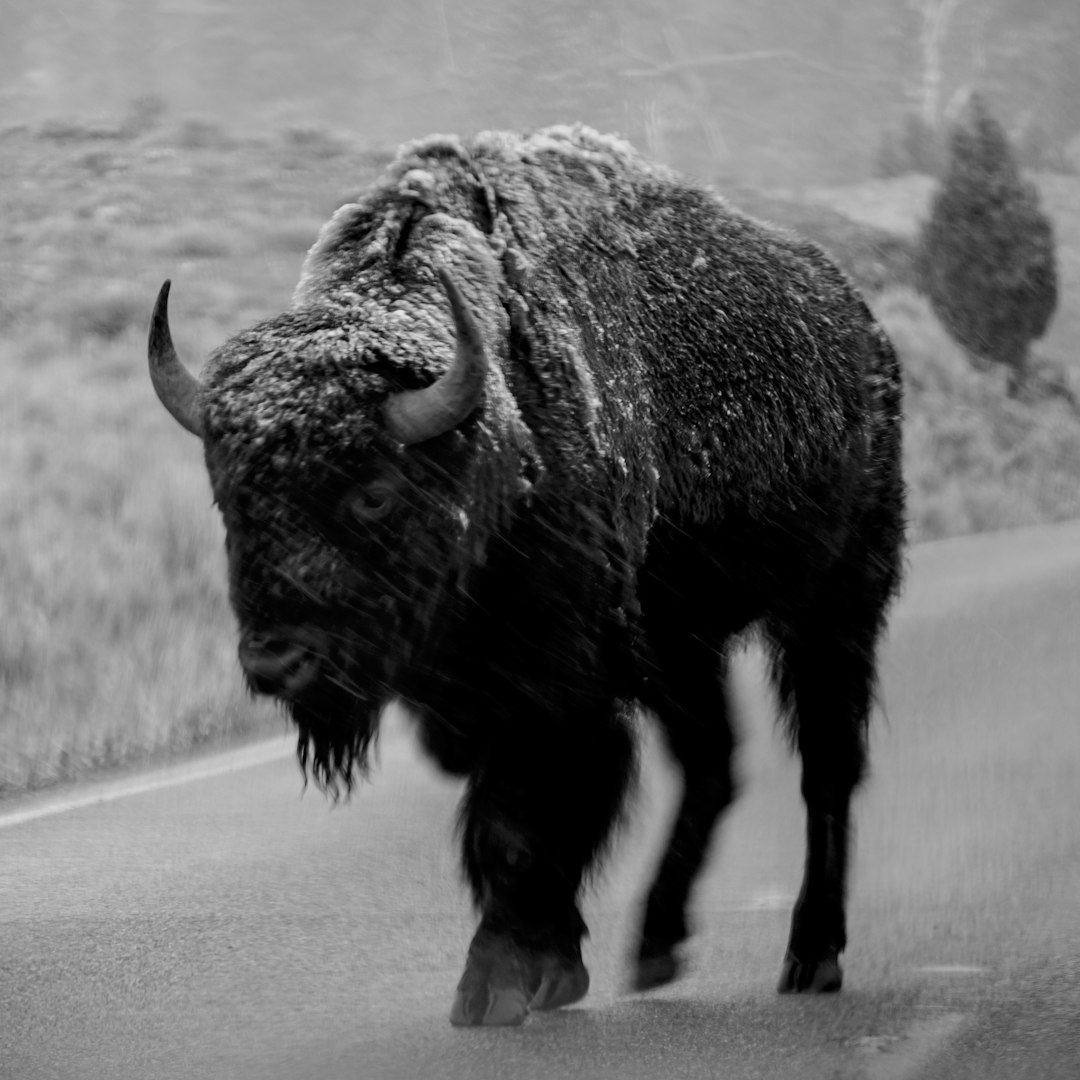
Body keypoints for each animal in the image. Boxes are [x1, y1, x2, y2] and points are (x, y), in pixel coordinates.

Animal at [143, 122, 902, 1023]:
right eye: (229, 495)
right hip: (685, 644)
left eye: (373, 492)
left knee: (827, 770)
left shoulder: (554, 684)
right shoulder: (474, 693)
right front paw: (546, 964)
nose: (276, 663)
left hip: (835, 605)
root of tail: (862, 331)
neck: (489, 437)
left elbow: (525, 817)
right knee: (713, 762)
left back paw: (811, 955)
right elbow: (512, 816)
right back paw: (654, 947)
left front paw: (503, 978)